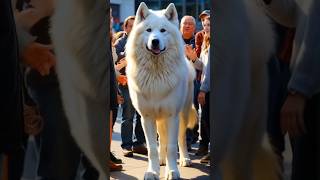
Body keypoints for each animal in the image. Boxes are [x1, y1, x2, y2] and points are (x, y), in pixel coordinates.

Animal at [125, 2, 198, 180]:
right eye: (149, 30)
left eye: (163, 30)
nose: (155, 42)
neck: (156, 74)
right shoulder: (147, 118)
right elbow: (152, 148)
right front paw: (153, 171)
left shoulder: (172, 116)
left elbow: (172, 146)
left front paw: (172, 172)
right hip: (160, 120)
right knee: (162, 140)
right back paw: (162, 161)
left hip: (182, 115)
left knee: (181, 139)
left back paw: (185, 159)